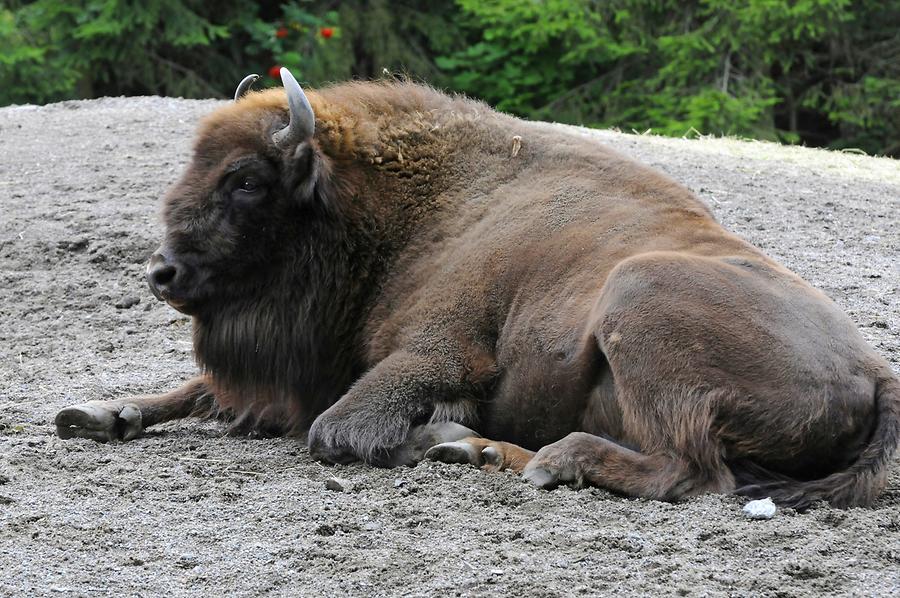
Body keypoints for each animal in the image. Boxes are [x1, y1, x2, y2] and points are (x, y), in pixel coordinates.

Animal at [58, 69, 900, 510]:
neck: (407, 207)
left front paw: (433, 430)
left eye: (244, 181)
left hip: (637, 294)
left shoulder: (431, 357)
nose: (162, 272)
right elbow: (200, 389)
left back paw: (527, 455)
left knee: (690, 472)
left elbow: (337, 430)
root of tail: (876, 372)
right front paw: (95, 413)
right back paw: (480, 450)